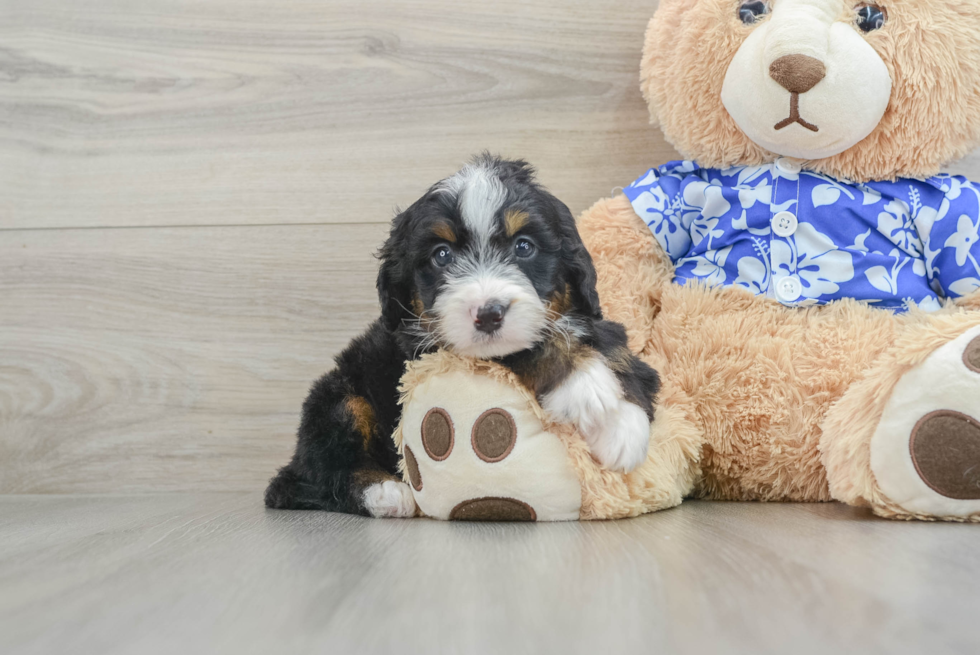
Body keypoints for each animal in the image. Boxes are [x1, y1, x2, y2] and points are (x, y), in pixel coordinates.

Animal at [264, 156, 660, 520]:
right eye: (442, 255)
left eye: (524, 247)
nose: (489, 314)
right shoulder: (428, 346)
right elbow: (523, 349)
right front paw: (585, 386)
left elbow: (610, 345)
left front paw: (624, 425)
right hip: (338, 398)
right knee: (322, 471)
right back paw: (385, 492)